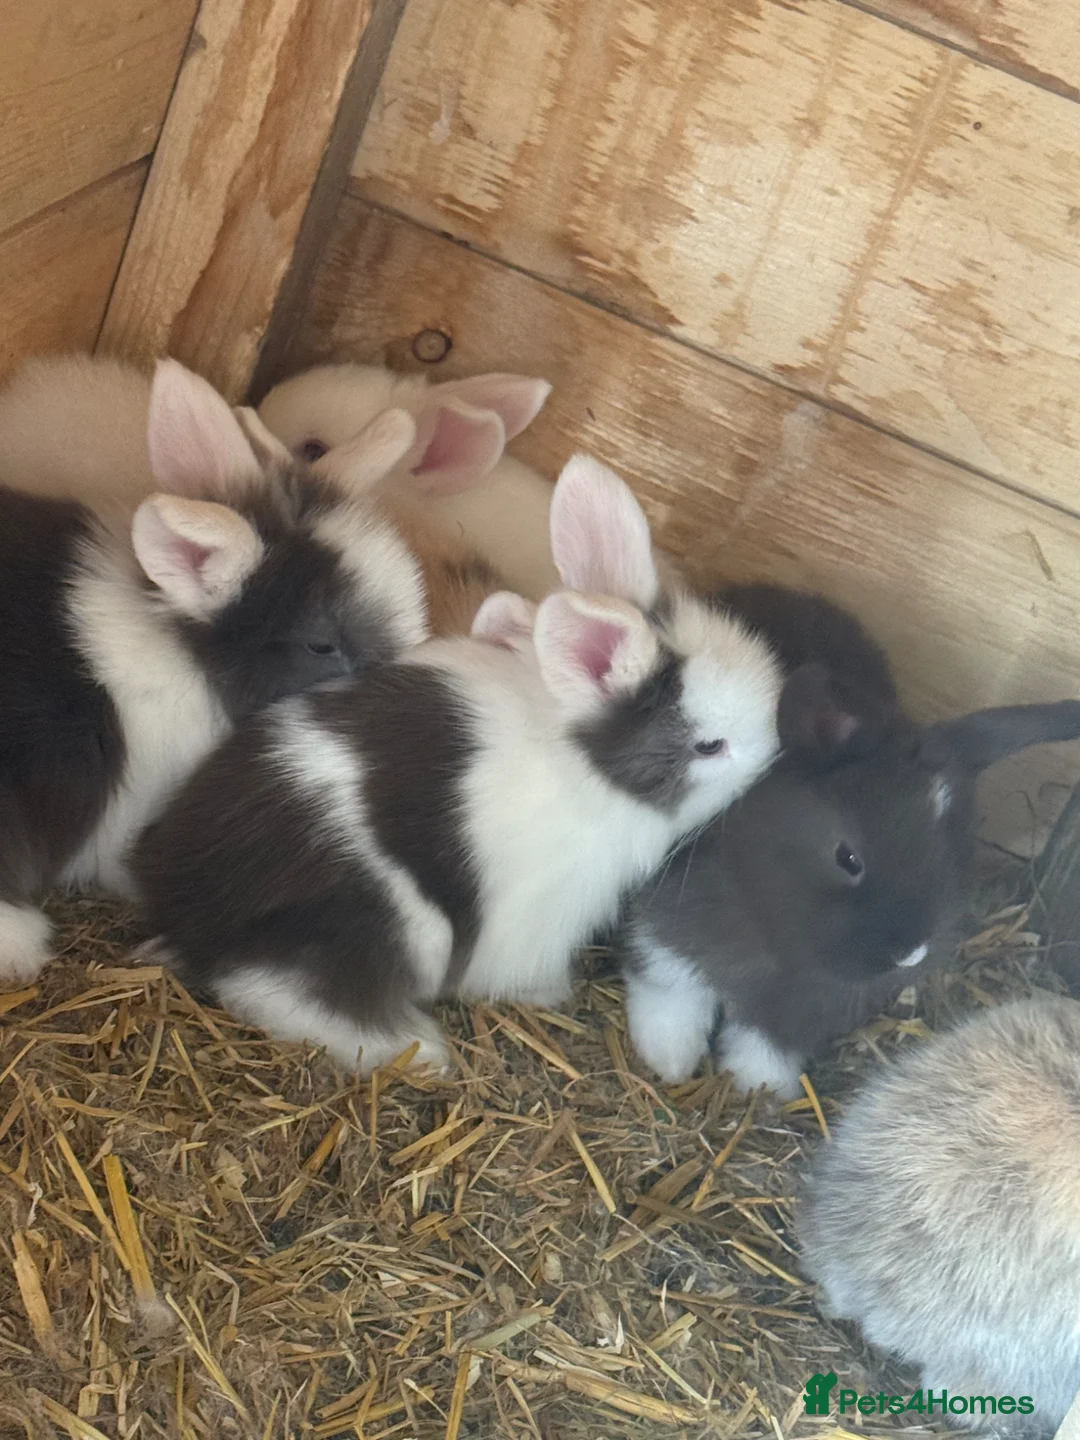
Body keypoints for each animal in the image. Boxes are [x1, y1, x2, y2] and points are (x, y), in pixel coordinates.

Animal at [130, 454, 787, 1075]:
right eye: (710, 746)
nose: (774, 748)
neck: (590, 767)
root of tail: (187, 912)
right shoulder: (540, 916)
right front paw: (551, 994)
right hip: (401, 929)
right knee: (278, 989)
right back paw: (423, 1052)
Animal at [619, 582, 1080, 1097]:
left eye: (957, 859)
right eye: (848, 857)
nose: (909, 954)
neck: (775, 942)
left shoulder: (809, 1005)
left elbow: (770, 1043)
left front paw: (760, 1088)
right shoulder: (669, 931)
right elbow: (669, 992)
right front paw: (670, 1062)